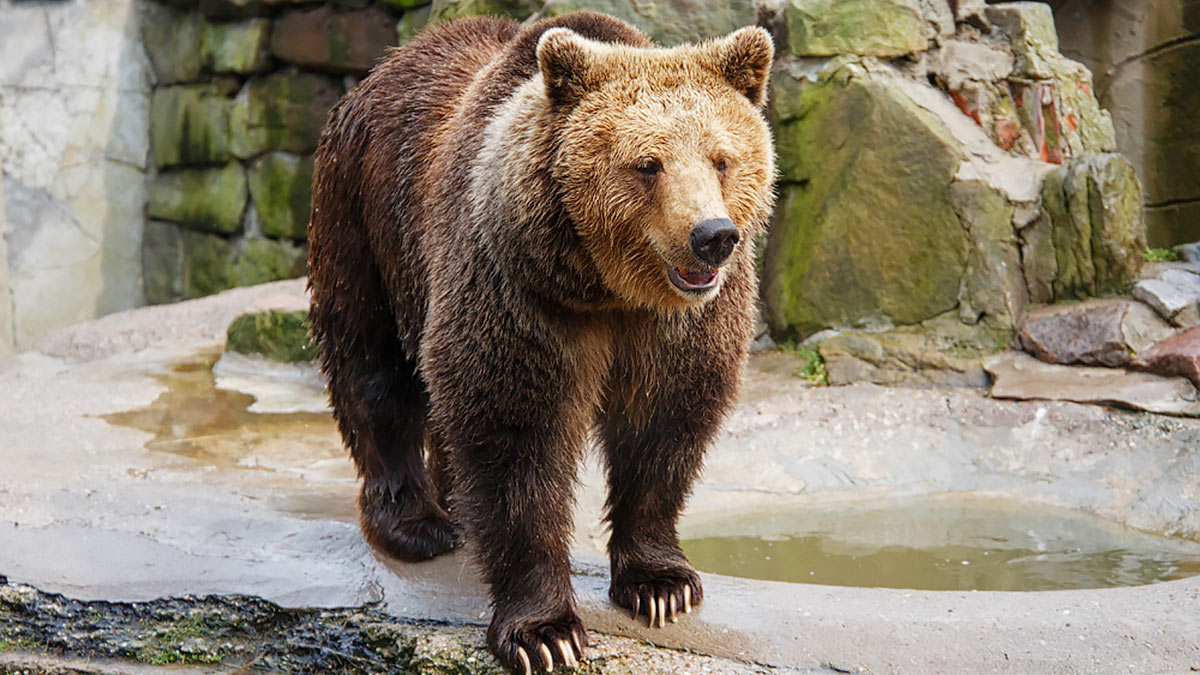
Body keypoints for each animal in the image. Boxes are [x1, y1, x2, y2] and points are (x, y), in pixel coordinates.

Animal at [309, 11, 772, 672]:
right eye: (648, 163)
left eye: (722, 158)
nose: (712, 236)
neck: (608, 288)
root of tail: (386, 65)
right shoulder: (518, 290)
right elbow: (517, 435)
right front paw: (544, 632)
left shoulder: (678, 325)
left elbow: (665, 421)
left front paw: (661, 585)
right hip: (366, 215)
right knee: (372, 364)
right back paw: (416, 523)